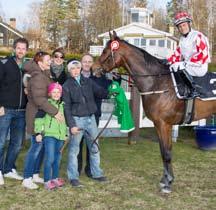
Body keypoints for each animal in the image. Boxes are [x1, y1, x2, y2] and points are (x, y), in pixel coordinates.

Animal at [91, 31, 216, 194]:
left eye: (106, 51)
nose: (93, 68)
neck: (157, 83)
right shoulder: (159, 124)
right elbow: (164, 150)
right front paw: (166, 180)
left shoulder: (164, 124)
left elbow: (167, 153)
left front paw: (168, 185)